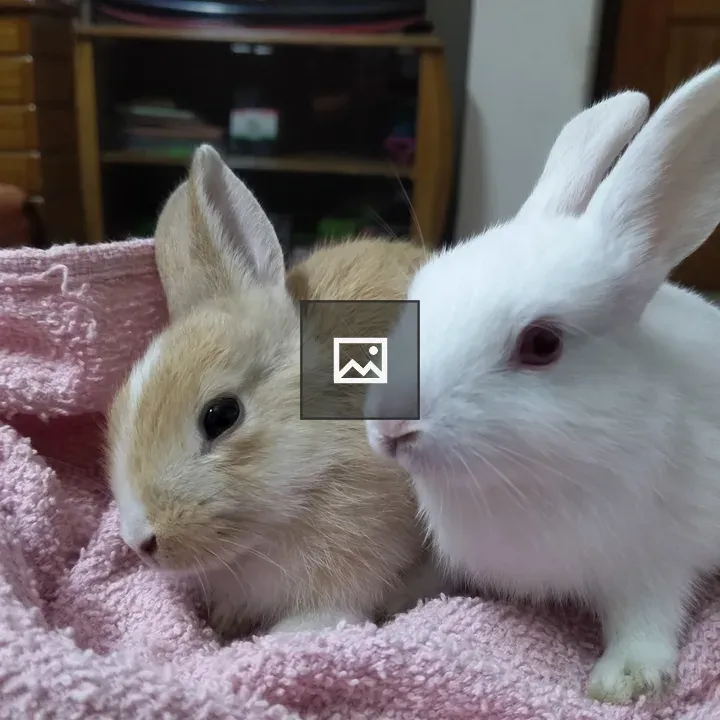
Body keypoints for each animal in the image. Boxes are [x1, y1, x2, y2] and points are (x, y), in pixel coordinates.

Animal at [366, 63, 720, 705]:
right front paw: (388, 604)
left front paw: (625, 680)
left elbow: (648, 616)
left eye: (541, 344)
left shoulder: (656, 558)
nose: (391, 425)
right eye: (418, 294)